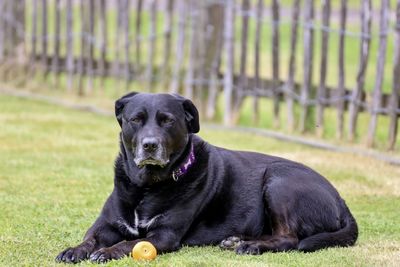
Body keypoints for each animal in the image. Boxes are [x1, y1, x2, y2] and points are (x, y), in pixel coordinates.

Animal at [54, 93, 358, 264]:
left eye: (167, 120)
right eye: (135, 119)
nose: (150, 145)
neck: (146, 186)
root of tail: (342, 201)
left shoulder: (164, 235)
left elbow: (127, 244)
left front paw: (108, 252)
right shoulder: (106, 225)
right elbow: (90, 238)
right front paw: (75, 250)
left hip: (279, 180)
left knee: (289, 239)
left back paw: (251, 246)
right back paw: (236, 240)